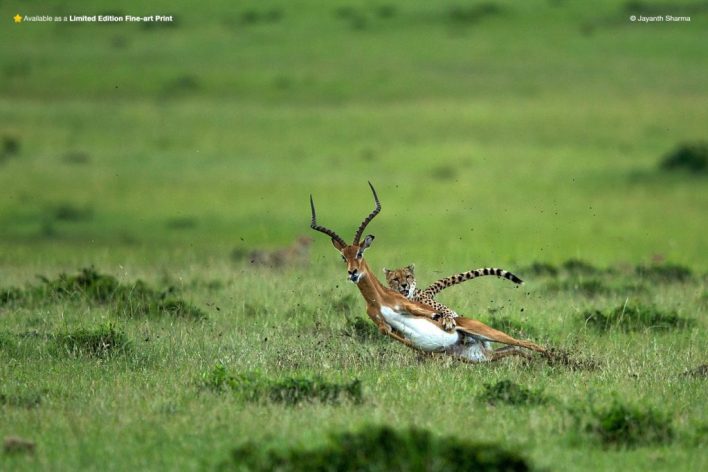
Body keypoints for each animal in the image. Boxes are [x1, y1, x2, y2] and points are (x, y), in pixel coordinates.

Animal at [310, 182, 547, 362]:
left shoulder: (409, 305)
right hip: (479, 356)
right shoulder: (383, 326)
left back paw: (553, 357)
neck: (378, 298)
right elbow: (399, 336)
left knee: (526, 343)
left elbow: (432, 315)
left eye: (360, 253)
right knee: (513, 350)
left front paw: (443, 323)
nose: (353, 273)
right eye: (343, 257)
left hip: (487, 332)